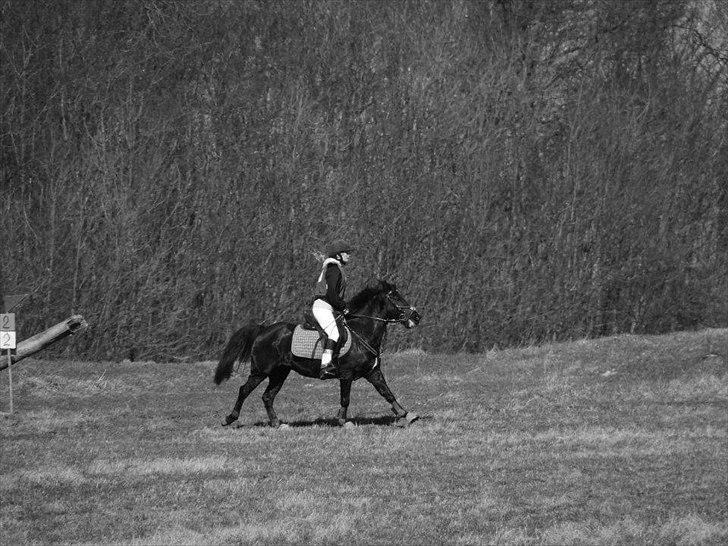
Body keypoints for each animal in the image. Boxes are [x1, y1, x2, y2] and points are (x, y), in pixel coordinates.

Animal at [212, 278, 420, 428]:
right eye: (396, 298)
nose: (417, 317)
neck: (362, 332)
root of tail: (263, 330)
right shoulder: (346, 375)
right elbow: (345, 398)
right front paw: (343, 421)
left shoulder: (373, 372)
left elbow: (387, 393)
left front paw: (407, 414)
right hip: (261, 371)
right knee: (244, 390)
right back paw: (229, 418)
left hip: (280, 373)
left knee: (268, 396)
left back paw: (277, 423)